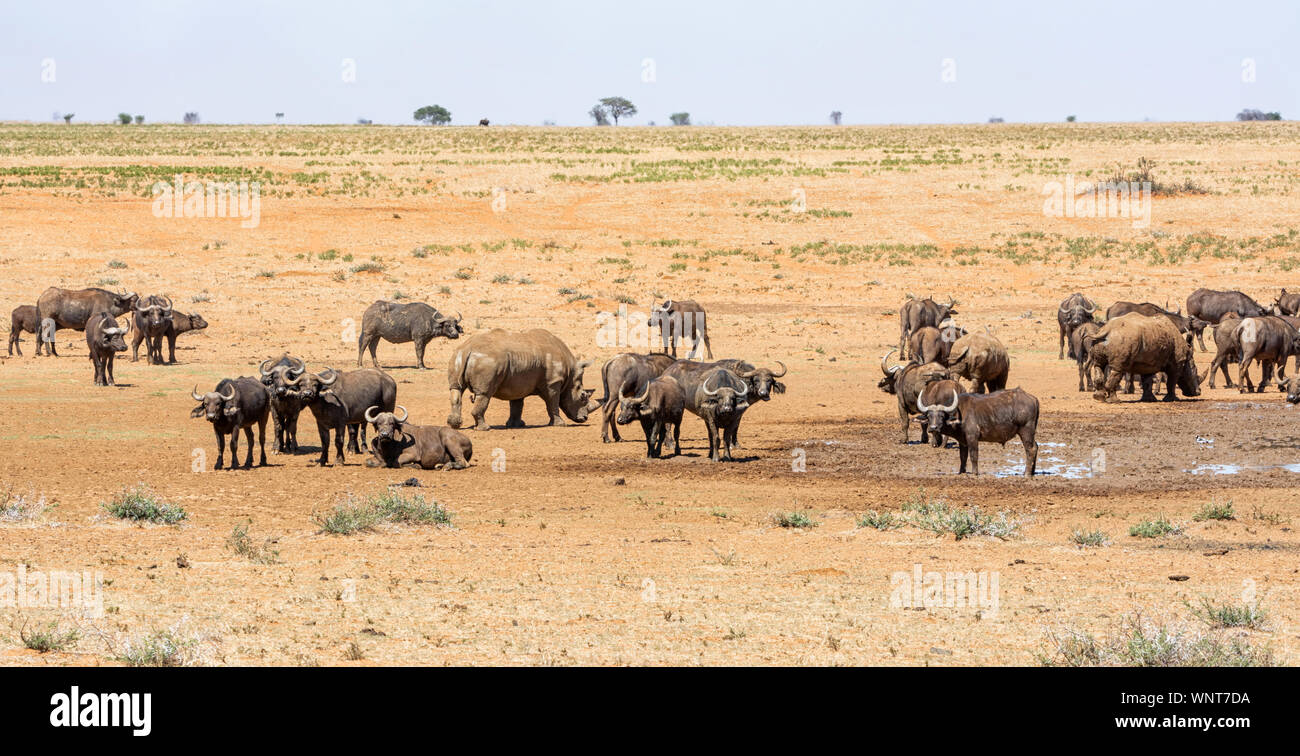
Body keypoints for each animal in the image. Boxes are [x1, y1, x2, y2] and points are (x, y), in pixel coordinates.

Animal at [444, 329, 592, 433]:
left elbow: (516, 405)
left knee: (456, 389)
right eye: (583, 396)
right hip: (487, 361)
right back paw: (485, 428)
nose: (584, 418)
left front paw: (516, 425)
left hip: (457, 356)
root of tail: (468, 349)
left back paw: (454, 425)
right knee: (485, 393)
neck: (570, 373)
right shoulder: (553, 383)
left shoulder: (517, 383)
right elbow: (553, 403)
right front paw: (560, 425)